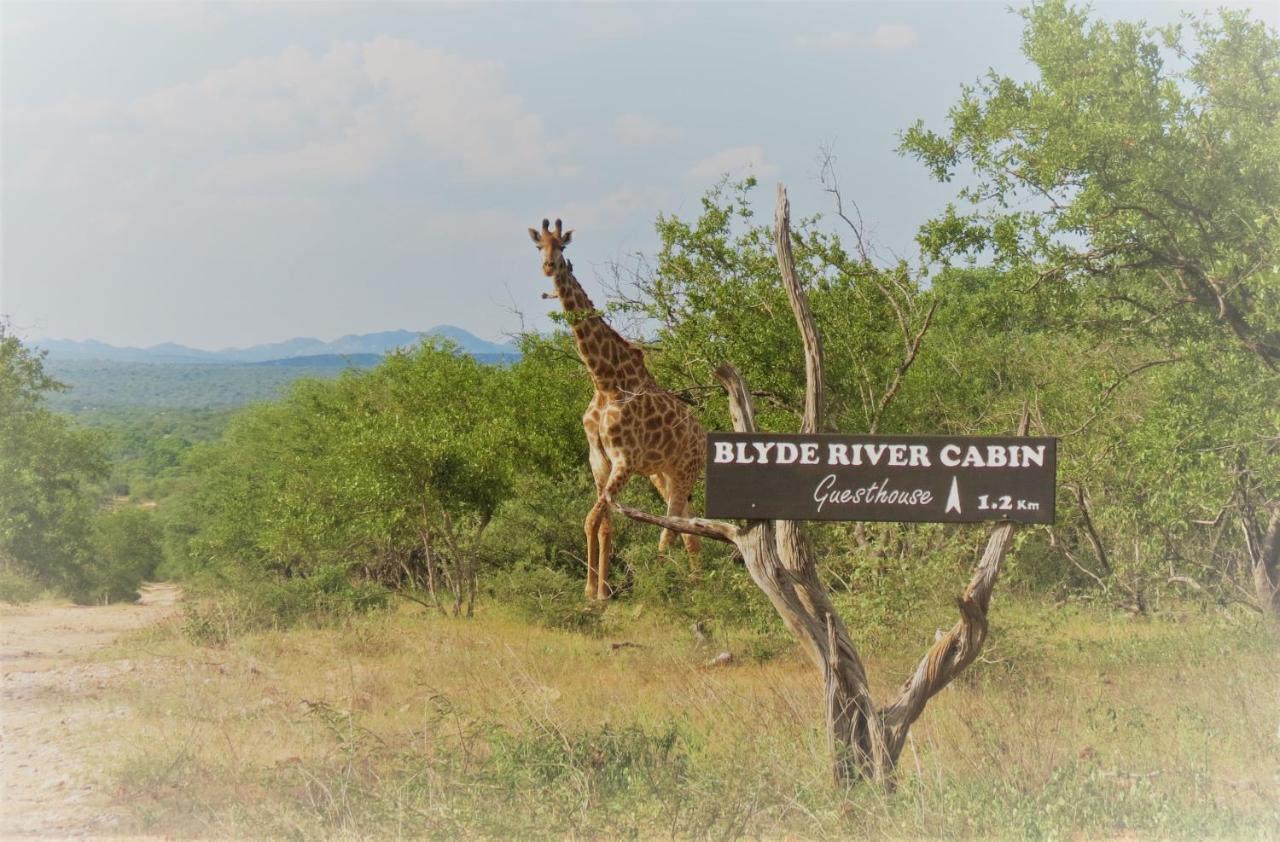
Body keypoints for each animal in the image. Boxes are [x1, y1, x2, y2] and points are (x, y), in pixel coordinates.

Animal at [529, 216, 711, 596]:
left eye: (562, 246)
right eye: (539, 245)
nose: (549, 266)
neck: (605, 382)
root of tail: (703, 437)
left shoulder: (623, 460)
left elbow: (592, 518)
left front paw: (599, 593)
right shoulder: (599, 461)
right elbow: (601, 525)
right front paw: (594, 592)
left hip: (684, 472)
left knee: (670, 528)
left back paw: (658, 591)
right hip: (662, 475)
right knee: (689, 530)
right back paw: (697, 587)